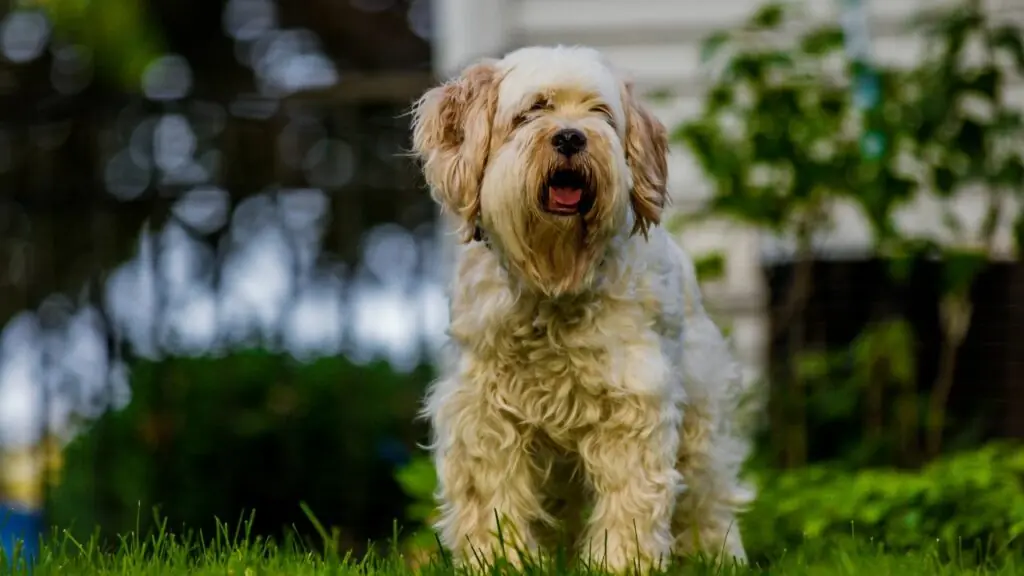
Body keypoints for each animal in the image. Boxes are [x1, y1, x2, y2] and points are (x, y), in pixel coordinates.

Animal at [411, 44, 757, 569]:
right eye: (533, 109)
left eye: (601, 114)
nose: (571, 136)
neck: (551, 286)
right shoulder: (486, 416)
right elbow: (492, 502)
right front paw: (499, 561)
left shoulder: (631, 405)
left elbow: (629, 504)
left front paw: (622, 564)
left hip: (701, 419)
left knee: (709, 493)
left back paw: (716, 555)